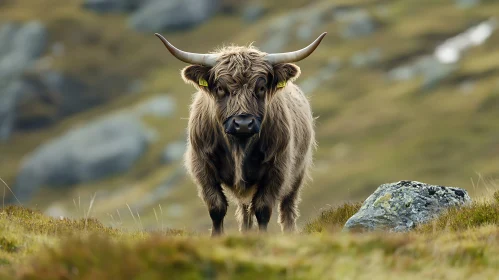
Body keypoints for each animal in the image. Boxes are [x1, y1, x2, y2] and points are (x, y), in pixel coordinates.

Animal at [156, 31, 328, 235]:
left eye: (261, 87)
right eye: (220, 88)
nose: (243, 124)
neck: (239, 145)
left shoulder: (277, 168)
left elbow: (263, 208)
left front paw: (263, 237)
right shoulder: (202, 166)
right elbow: (216, 207)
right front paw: (217, 236)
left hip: (297, 173)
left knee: (287, 207)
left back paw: (289, 232)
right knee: (245, 210)